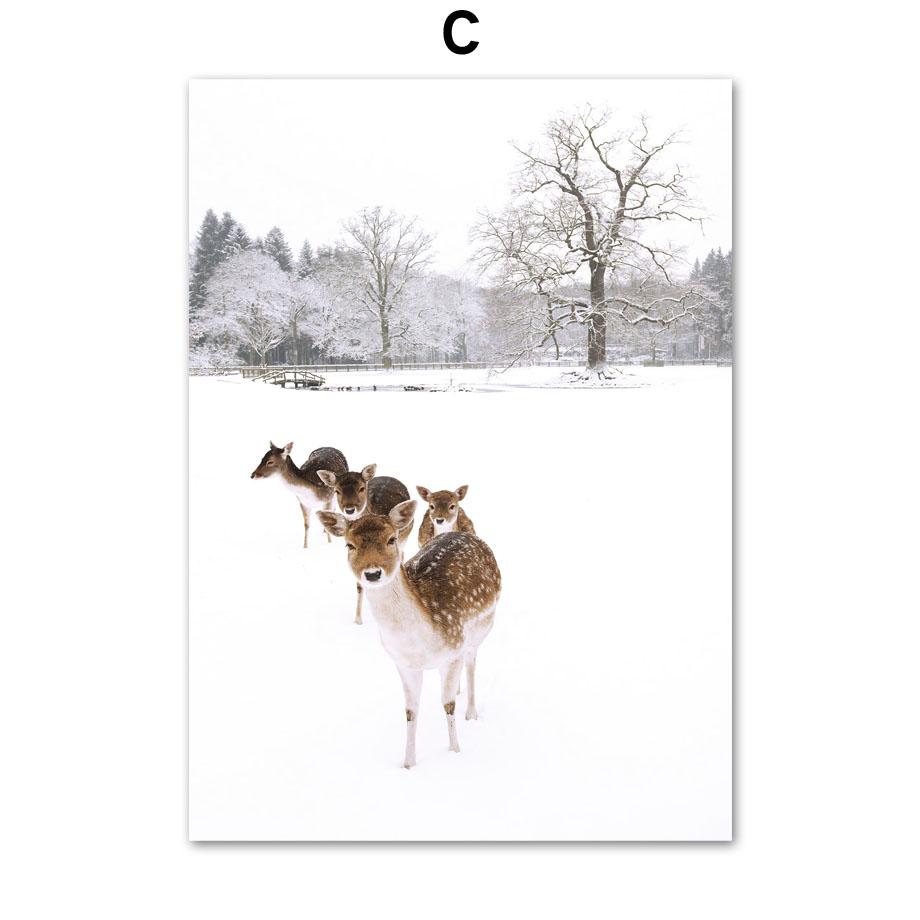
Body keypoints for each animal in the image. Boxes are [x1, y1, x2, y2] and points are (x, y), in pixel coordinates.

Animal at [318, 500, 501, 769]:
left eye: (391, 539)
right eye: (349, 544)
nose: (372, 573)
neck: (419, 641)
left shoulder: (453, 649)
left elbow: (447, 704)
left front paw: (455, 751)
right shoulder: (404, 664)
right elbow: (410, 710)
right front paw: (408, 763)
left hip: (482, 628)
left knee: (471, 665)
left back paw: (471, 713)